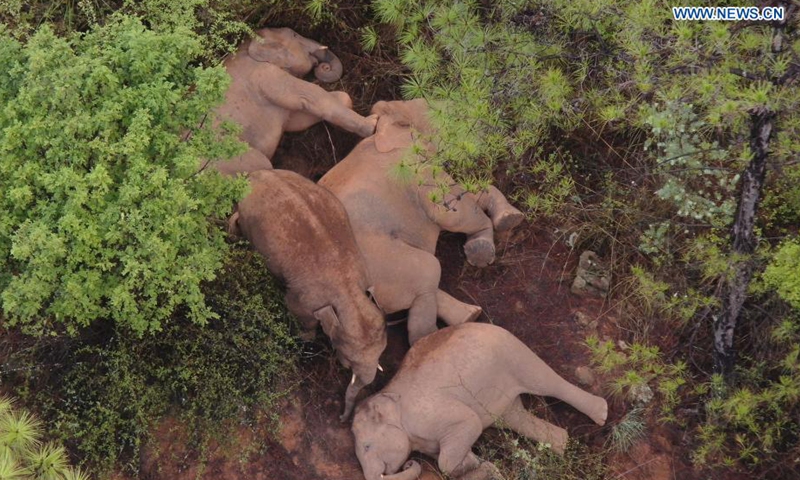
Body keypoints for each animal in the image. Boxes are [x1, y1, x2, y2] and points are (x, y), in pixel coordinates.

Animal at [206, 27, 377, 175]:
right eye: (295, 35)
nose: (324, 66)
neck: (247, 45)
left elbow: (295, 121)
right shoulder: (267, 75)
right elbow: (312, 96)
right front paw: (373, 123)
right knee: (262, 165)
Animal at [228, 169, 386, 420]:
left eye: (381, 354)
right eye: (349, 361)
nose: (341, 418)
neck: (348, 292)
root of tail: (258, 173)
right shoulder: (303, 300)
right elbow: (301, 317)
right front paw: (305, 343)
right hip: (249, 217)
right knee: (239, 224)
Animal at [318, 99, 525, 345]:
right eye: (444, 113)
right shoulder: (416, 170)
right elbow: (451, 211)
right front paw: (490, 242)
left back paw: (469, 316)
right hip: (386, 261)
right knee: (428, 271)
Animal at [351, 322, 609, 480]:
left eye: (367, 446)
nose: (408, 464)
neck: (386, 394)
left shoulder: (426, 414)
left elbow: (469, 423)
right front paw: (477, 464)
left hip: (512, 351)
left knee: (545, 381)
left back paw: (602, 414)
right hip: (502, 398)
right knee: (517, 419)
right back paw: (562, 445)